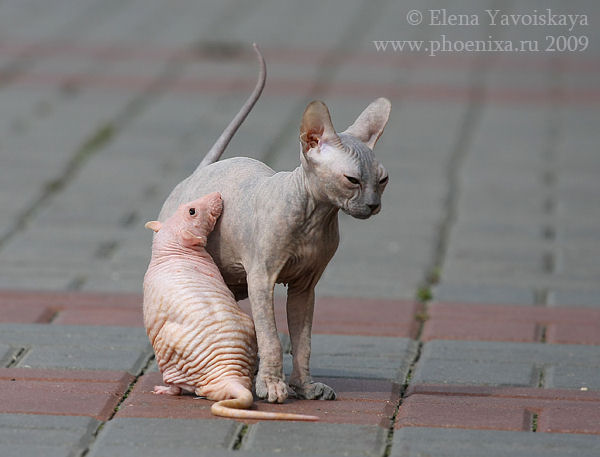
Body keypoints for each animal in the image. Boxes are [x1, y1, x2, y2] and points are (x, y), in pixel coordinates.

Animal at [159, 43, 392, 402]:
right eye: (352, 179)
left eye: (382, 181)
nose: (373, 205)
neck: (314, 219)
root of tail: (195, 174)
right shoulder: (262, 278)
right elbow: (270, 336)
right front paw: (270, 384)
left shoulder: (306, 286)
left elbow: (302, 342)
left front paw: (305, 386)